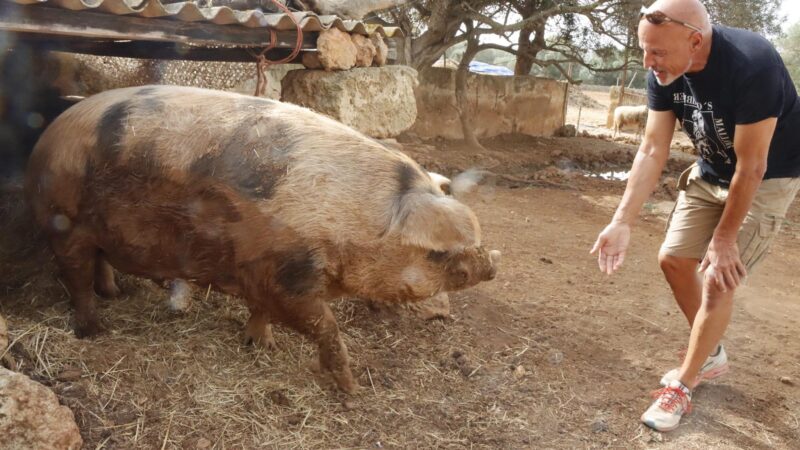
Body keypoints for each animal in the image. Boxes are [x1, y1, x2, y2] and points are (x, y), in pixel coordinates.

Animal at [25, 85, 499, 393]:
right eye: (435, 253)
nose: (489, 264)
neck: (354, 223)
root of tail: (51, 132)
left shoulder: (259, 268)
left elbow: (262, 309)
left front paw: (261, 346)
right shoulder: (288, 275)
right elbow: (323, 325)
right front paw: (350, 392)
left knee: (100, 261)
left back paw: (116, 296)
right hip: (62, 220)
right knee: (76, 276)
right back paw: (94, 331)